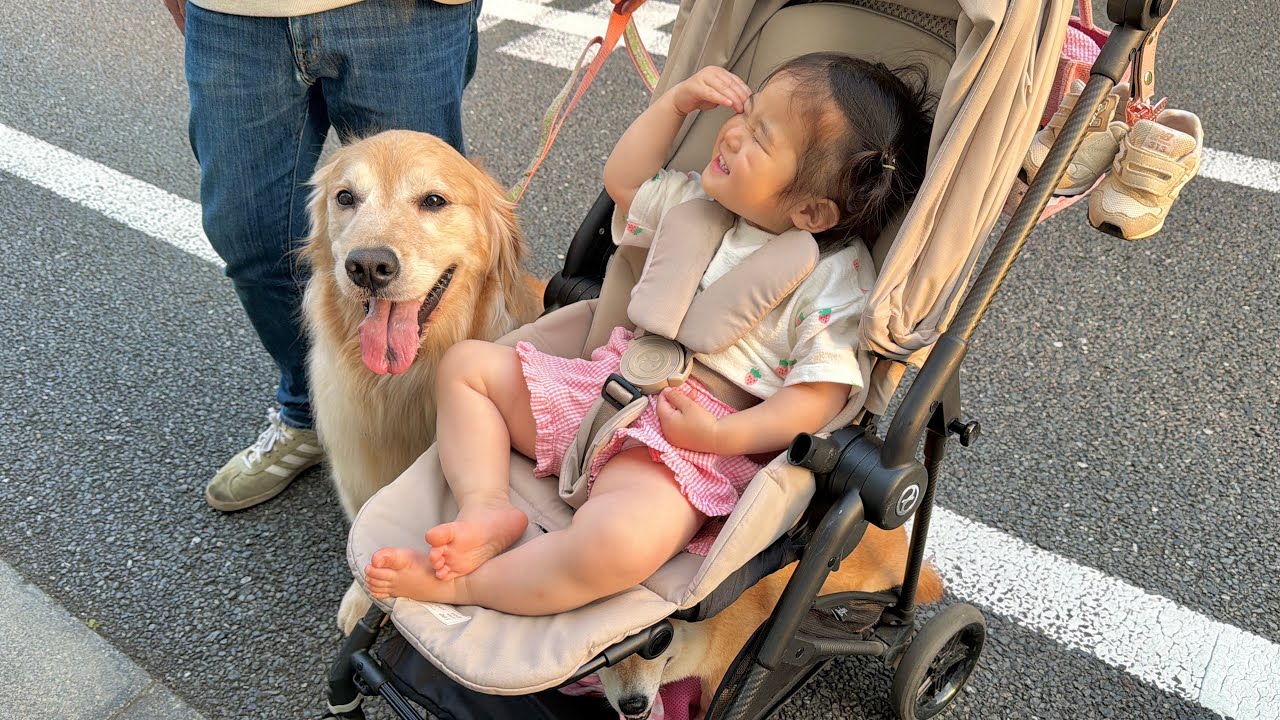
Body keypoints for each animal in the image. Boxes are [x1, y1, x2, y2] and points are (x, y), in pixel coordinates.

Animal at [299, 130, 543, 633]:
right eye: (345, 197)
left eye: (433, 200)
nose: (368, 266)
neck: (404, 382)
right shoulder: (357, 466)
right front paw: (364, 596)